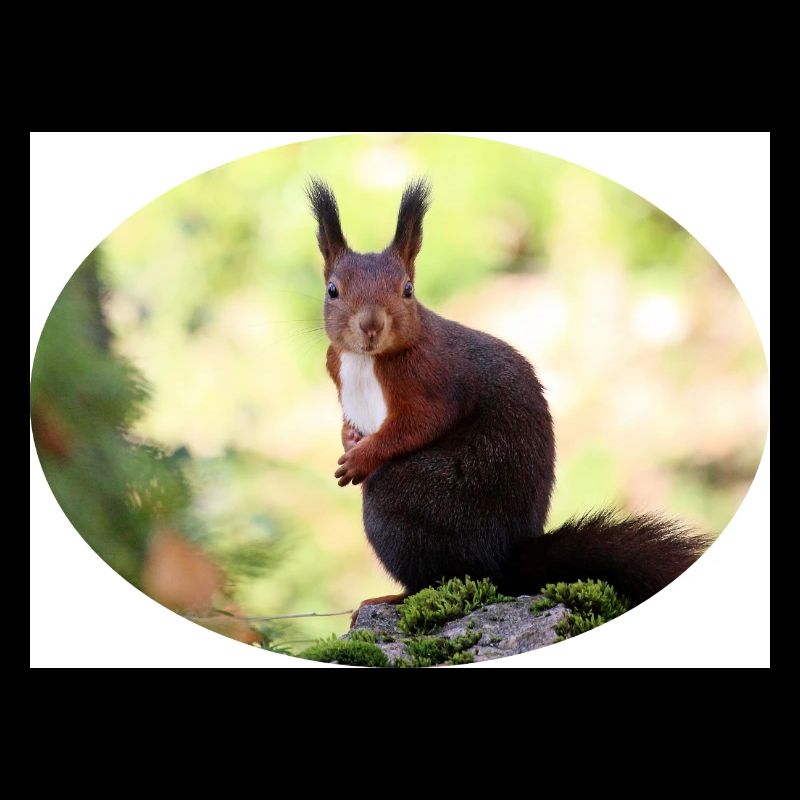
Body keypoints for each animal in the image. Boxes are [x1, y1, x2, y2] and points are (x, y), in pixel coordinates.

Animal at [307, 177, 710, 617]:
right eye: (332, 290)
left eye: (408, 290)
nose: (371, 325)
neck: (366, 360)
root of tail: (502, 560)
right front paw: (349, 439)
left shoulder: (431, 380)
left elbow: (417, 424)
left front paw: (361, 457)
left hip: (403, 501)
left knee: (436, 575)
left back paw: (394, 596)